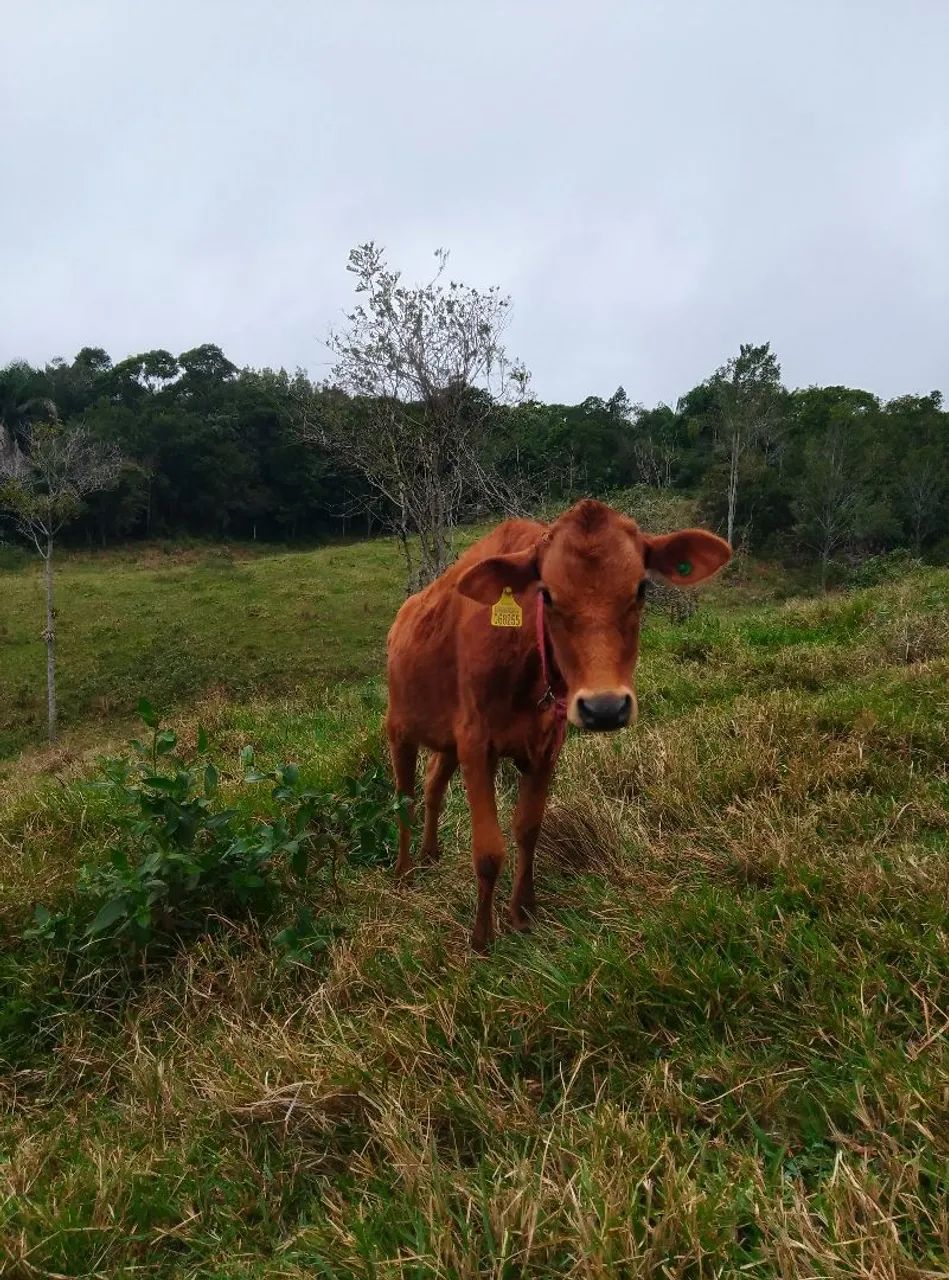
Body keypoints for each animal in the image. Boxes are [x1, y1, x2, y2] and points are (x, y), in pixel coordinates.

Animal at [385, 499, 731, 950]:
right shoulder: (477, 744)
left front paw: (522, 912)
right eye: (546, 594)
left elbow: (529, 828)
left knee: (432, 788)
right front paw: (482, 937)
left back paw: (430, 855)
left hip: (446, 742)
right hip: (399, 728)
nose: (605, 707)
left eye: (641, 588)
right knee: (405, 798)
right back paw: (405, 872)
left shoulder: (545, 746)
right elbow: (489, 850)